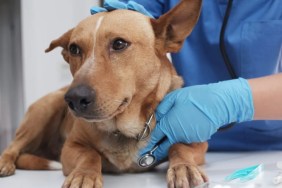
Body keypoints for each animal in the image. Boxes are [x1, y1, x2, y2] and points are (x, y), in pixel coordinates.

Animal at [0, 0, 207, 187]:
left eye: (119, 43)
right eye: (74, 49)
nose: (74, 98)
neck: (122, 129)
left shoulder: (198, 143)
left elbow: (179, 147)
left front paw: (184, 167)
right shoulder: (70, 147)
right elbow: (90, 155)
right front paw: (84, 174)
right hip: (45, 108)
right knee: (13, 146)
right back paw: (5, 163)